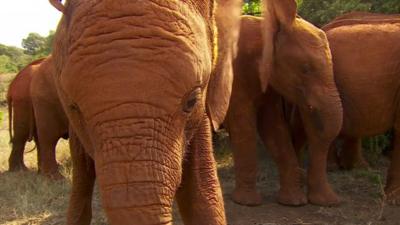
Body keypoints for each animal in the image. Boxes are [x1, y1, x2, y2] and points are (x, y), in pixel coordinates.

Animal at [227, 0, 342, 207]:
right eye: (305, 69)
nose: (334, 203)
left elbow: (274, 128)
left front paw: (294, 202)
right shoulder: (236, 76)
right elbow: (244, 125)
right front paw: (247, 202)